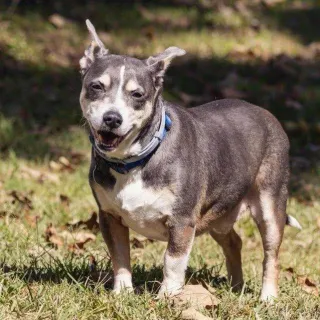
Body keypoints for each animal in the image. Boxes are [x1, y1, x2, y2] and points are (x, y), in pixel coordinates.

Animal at [79, 19, 302, 300]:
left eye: (137, 95)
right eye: (96, 86)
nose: (112, 118)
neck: (135, 161)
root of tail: (267, 114)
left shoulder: (183, 221)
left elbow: (172, 261)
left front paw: (167, 298)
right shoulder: (109, 217)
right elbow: (120, 257)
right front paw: (122, 294)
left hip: (271, 205)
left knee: (271, 254)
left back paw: (268, 297)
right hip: (219, 214)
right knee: (234, 241)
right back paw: (236, 287)